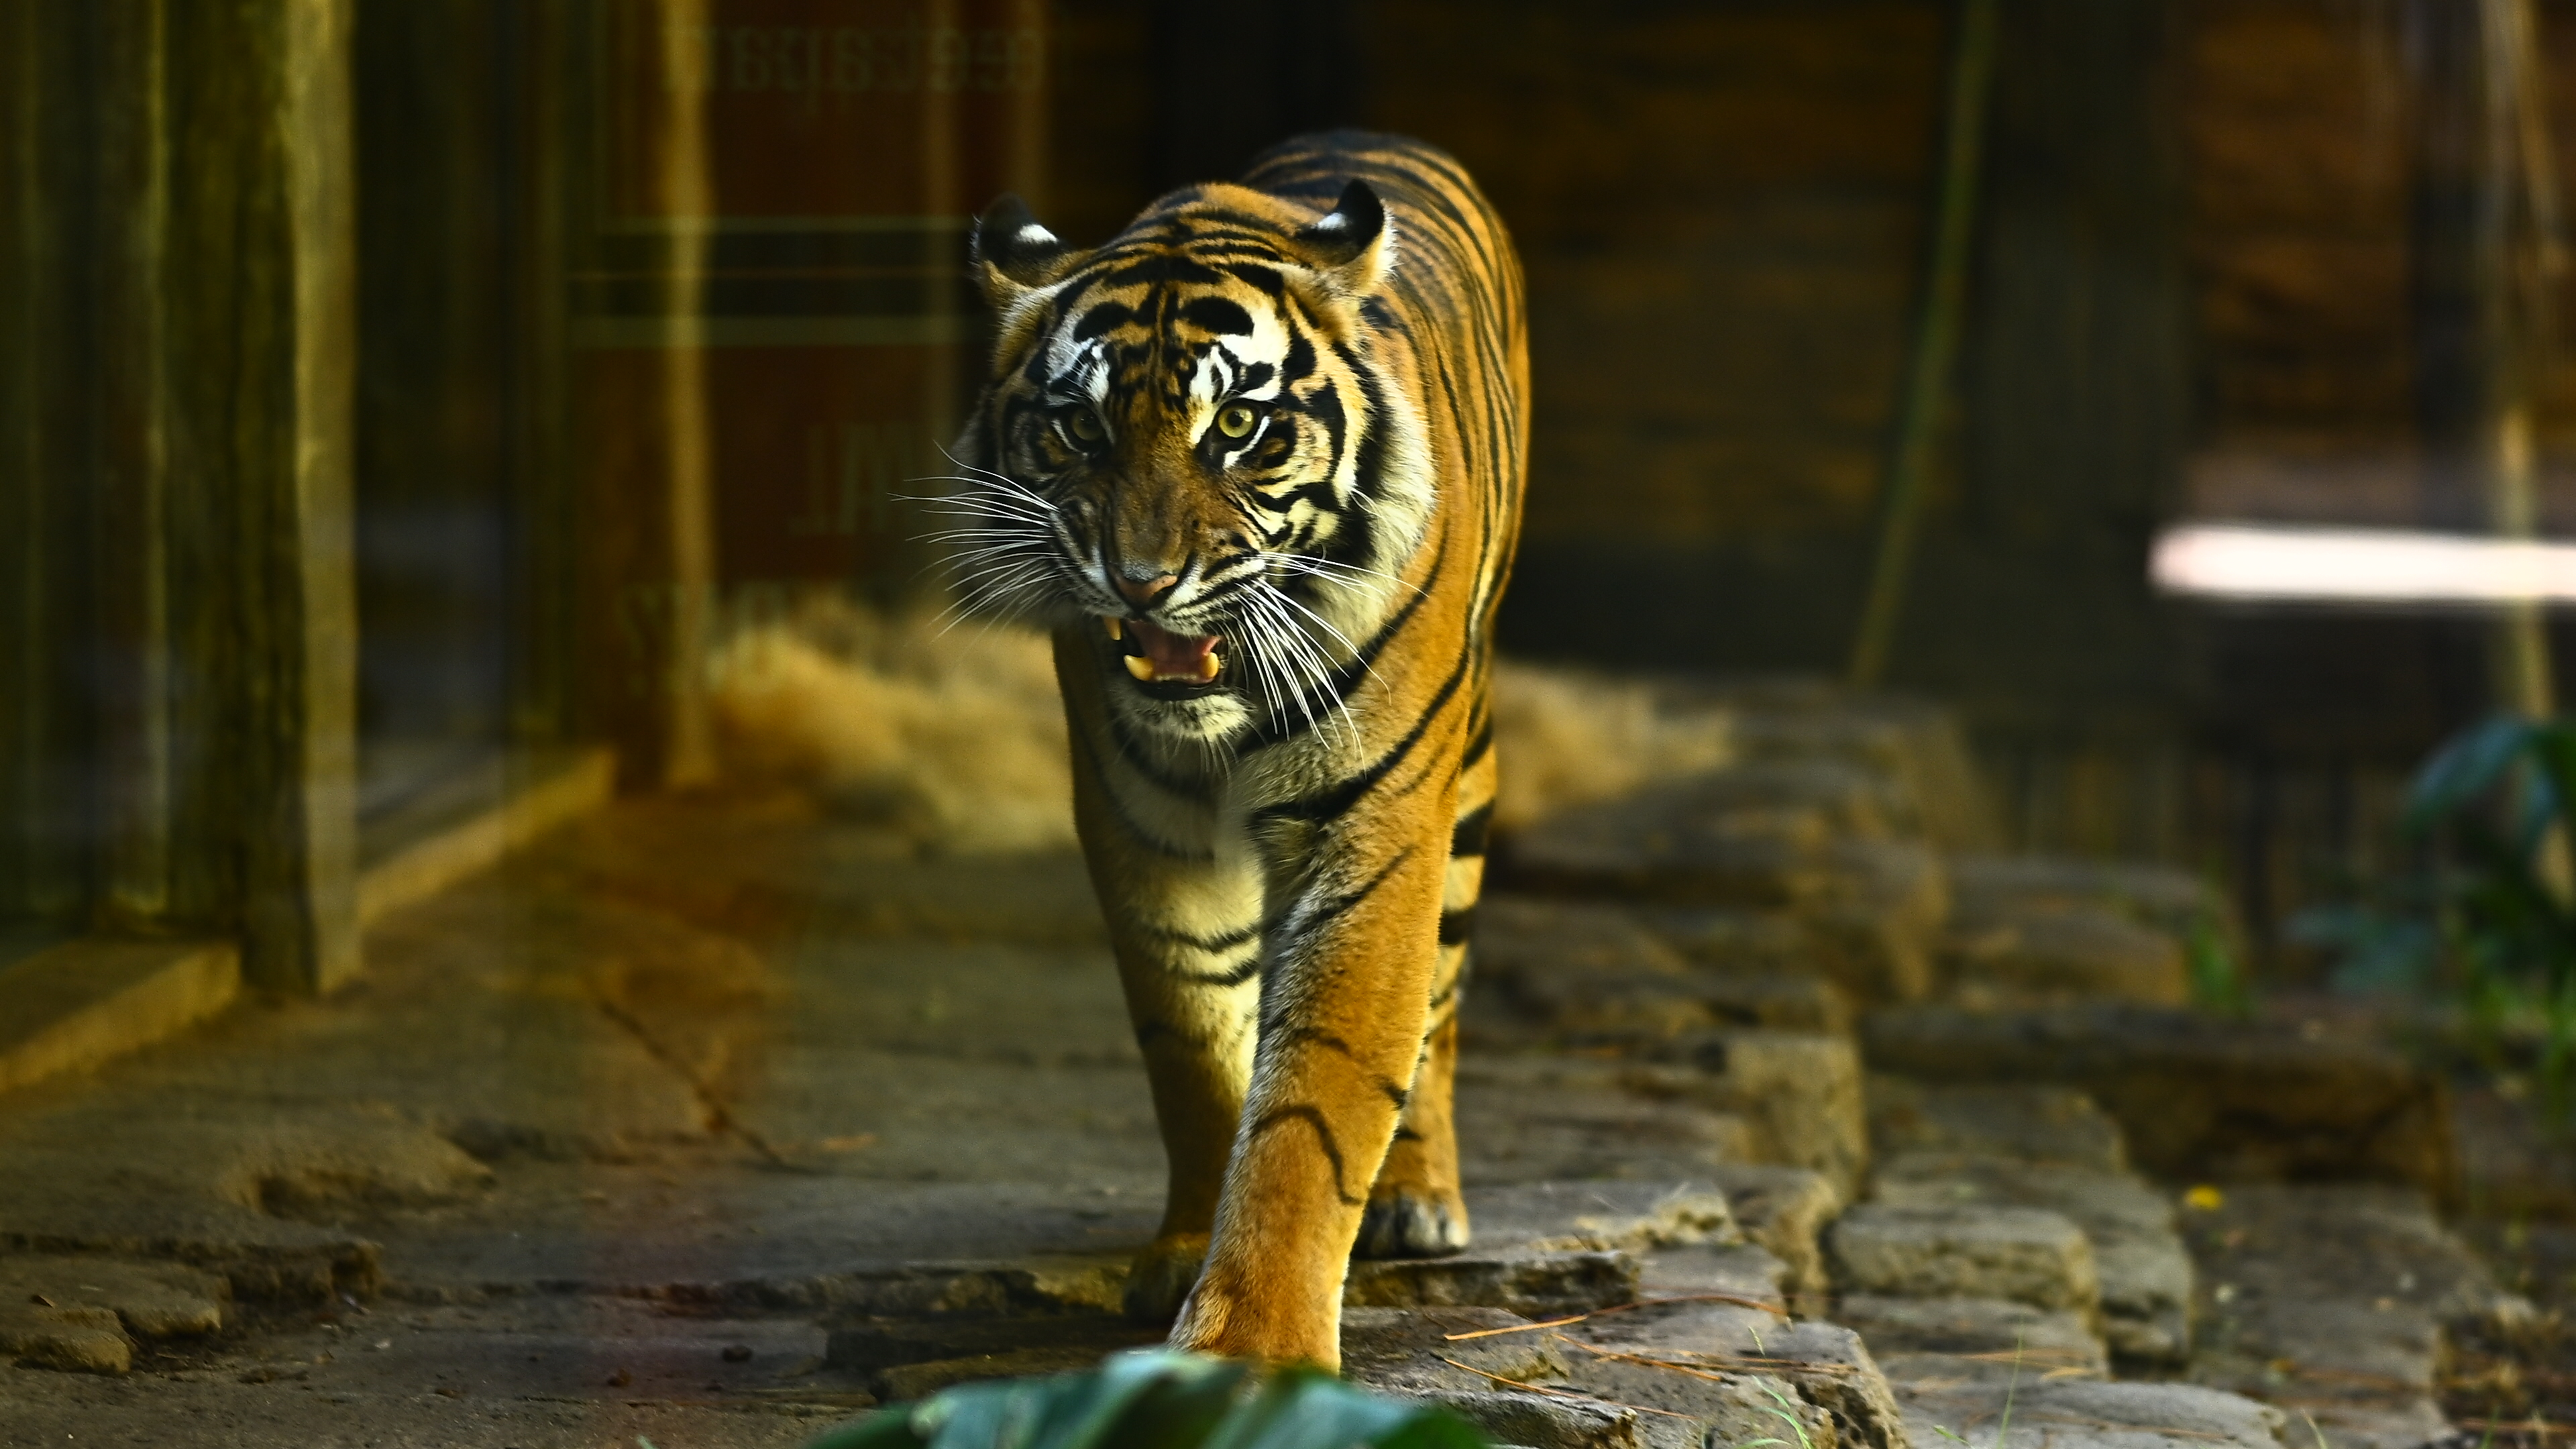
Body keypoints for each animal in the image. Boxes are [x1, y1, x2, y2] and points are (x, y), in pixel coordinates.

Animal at [949, 131, 1527, 1370]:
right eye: (1082, 429)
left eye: (1237, 431)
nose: (1141, 582)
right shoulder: (1141, 826)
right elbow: (1193, 1044)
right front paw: (1182, 1258)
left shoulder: (1377, 834)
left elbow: (1320, 1094)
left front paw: (1254, 1349)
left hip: (1465, 788)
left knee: (1444, 1002)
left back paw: (1419, 1198)